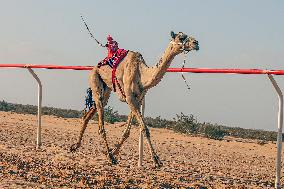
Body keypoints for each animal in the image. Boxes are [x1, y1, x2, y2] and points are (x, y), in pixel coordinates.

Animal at [71, 31, 200, 168]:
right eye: (181, 37)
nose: (196, 43)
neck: (142, 75)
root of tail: (94, 67)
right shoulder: (129, 97)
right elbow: (145, 129)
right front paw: (156, 160)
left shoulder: (137, 99)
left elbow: (127, 131)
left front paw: (115, 151)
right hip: (95, 80)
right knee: (101, 126)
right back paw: (110, 157)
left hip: (106, 90)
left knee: (88, 114)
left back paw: (76, 146)